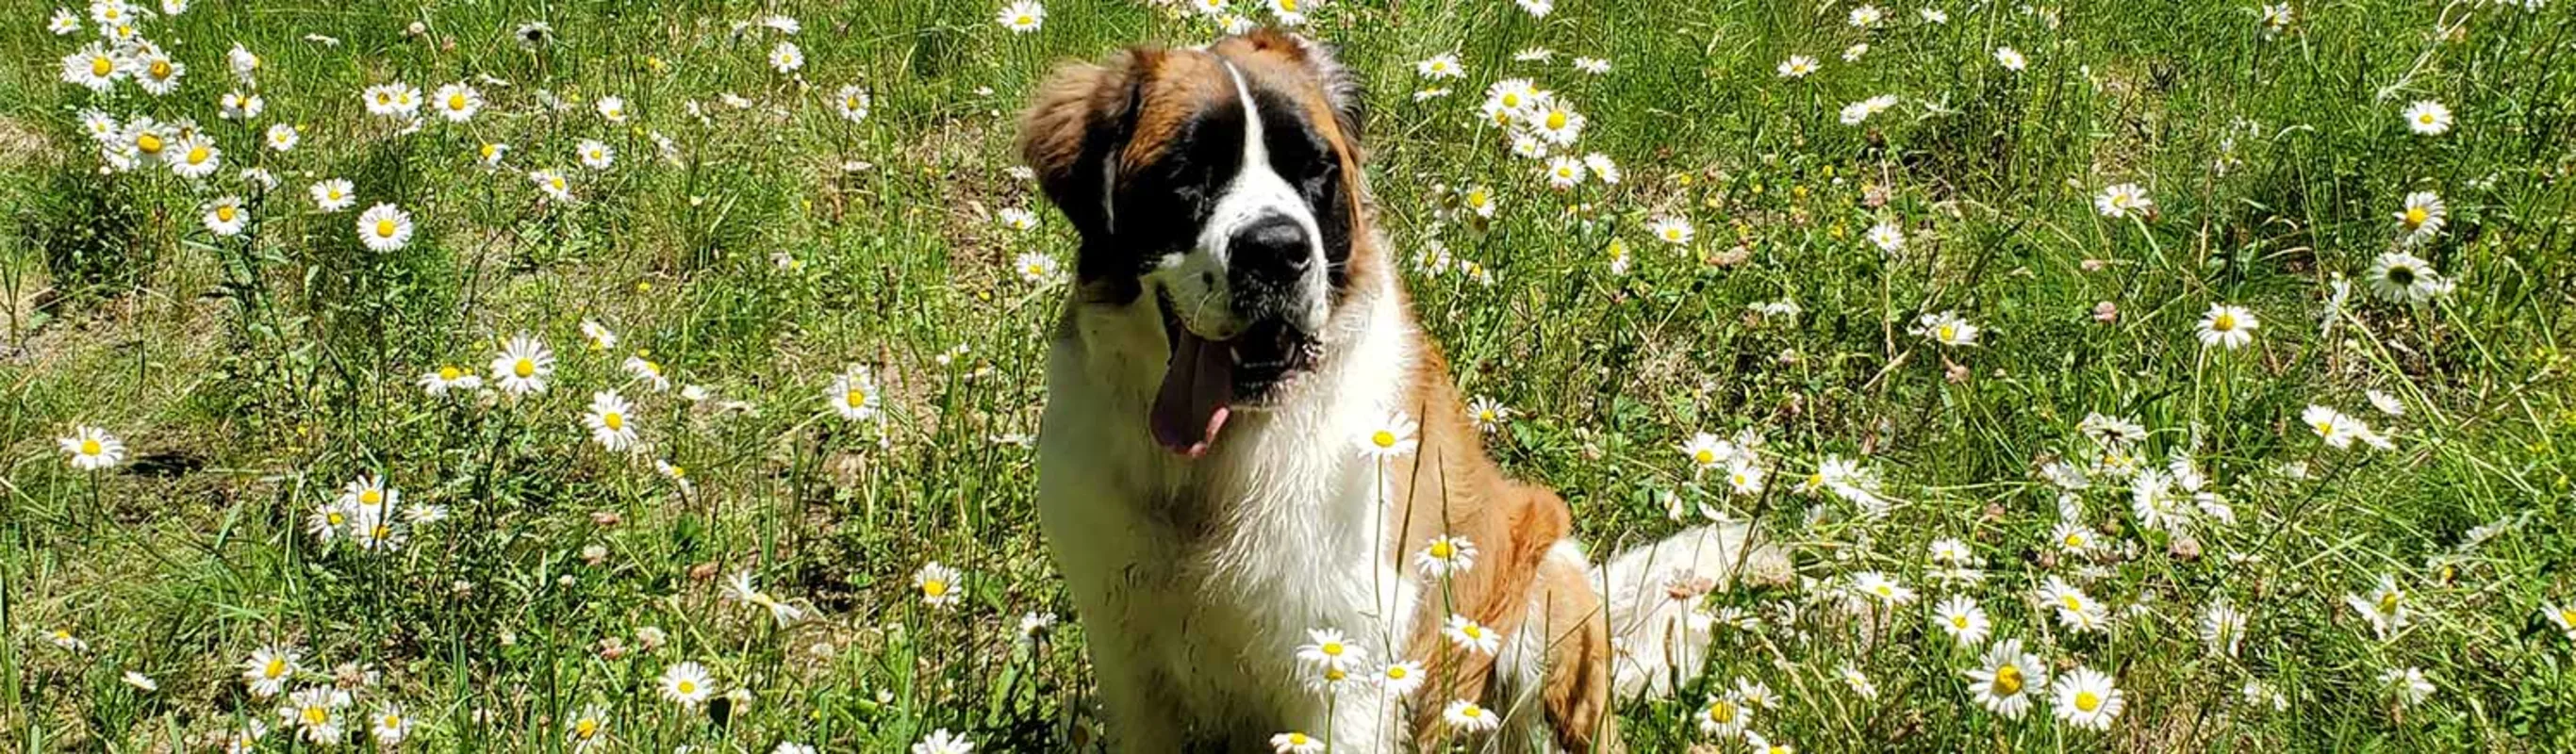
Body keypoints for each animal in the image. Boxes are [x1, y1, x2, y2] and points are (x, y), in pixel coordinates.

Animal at [1015, 27, 1782, 746]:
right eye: (1185, 175)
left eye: (1315, 171)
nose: (1277, 250)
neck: (1216, 469)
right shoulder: (1127, 657)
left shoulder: (1343, 662)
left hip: (1546, 586)